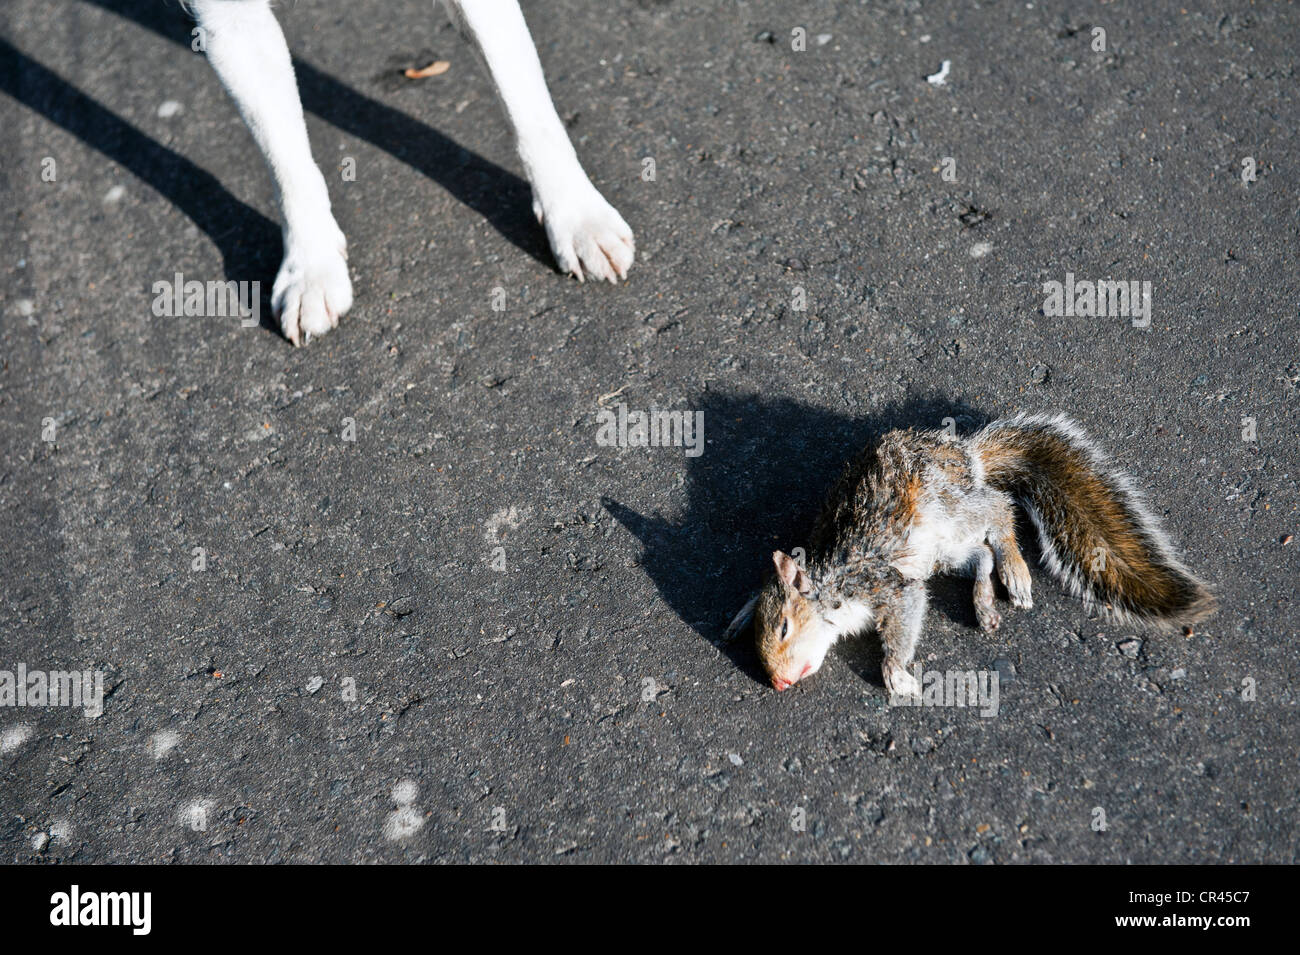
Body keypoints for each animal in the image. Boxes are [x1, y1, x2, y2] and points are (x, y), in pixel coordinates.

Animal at [728, 415, 1211, 696]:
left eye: (785, 627)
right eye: (759, 638)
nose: (779, 682)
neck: (832, 579)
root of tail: (966, 456)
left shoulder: (884, 585)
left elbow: (905, 614)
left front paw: (896, 675)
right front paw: (739, 616)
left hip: (947, 508)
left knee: (998, 510)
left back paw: (1015, 571)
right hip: (943, 549)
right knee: (980, 554)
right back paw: (983, 601)